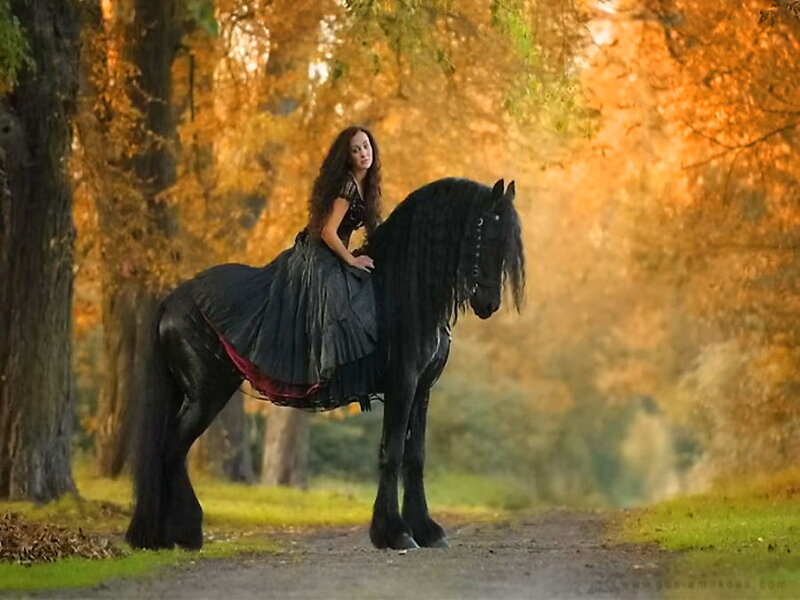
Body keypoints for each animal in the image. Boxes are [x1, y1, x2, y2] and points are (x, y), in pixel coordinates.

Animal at [125, 177, 524, 551]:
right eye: (484, 232)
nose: (488, 304)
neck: (403, 291)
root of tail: (173, 300)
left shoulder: (422, 389)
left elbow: (416, 456)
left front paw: (426, 530)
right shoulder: (402, 384)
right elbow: (392, 452)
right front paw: (394, 533)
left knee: (171, 451)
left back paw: (169, 535)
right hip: (207, 393)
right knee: (171, 449)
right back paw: (180, 533)